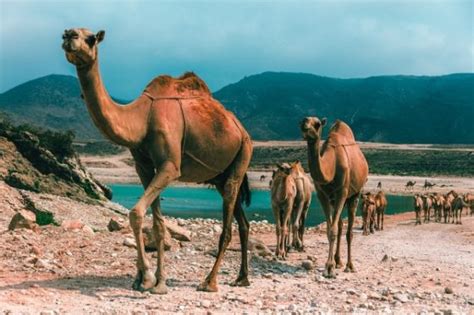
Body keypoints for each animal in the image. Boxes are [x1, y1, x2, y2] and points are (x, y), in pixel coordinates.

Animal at [64, 28, 256, 296]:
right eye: (68, 33)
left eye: (91, 38)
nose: (68, 36)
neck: (142, 119)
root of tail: (241, 129)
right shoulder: (143, 167)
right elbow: (158, 224)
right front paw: (156, 281)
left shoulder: (170, 167)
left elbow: (136, 213)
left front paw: (146, 279)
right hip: (221, 175)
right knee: (243, 222)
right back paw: (242, 278)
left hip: (243, 154)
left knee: (227, 227)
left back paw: (209, 282)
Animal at [300, 117, 370, 278]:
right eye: (302, 121)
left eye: (317, 124)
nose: (305, 128)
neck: (330, 166)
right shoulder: (322, 195)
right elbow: (329, 229)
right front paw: (331, 265)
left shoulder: (342, 192)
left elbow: (332, 230)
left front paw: (329, 268)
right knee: (340, 225)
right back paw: (339, 261)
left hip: (355, 194)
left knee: (349, 231)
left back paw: (350, 265)